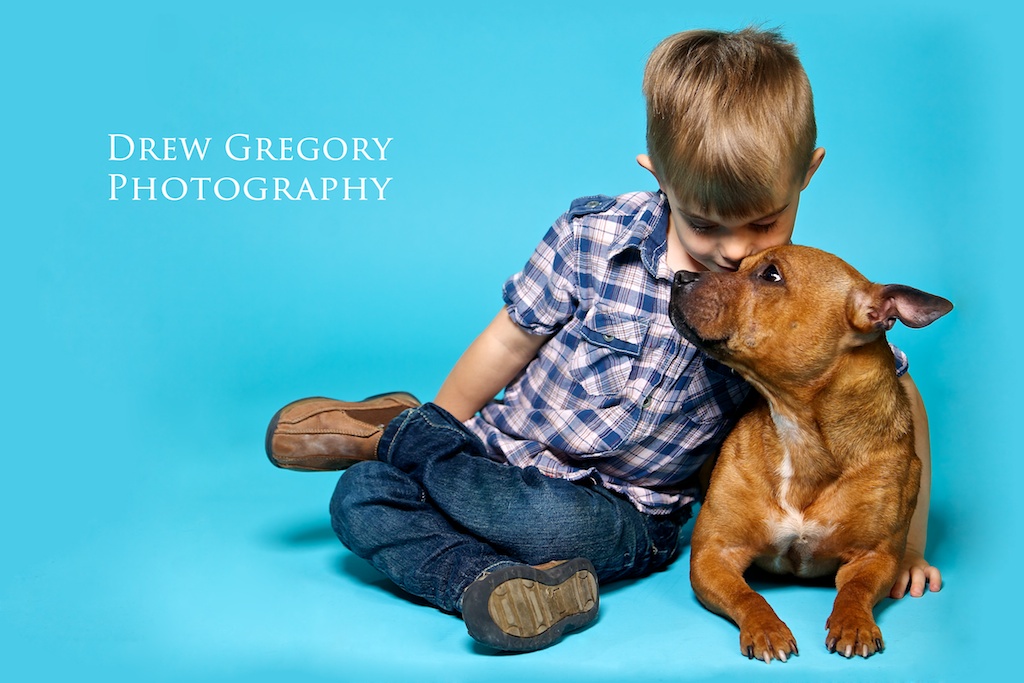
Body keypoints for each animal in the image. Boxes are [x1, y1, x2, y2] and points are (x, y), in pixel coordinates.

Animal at [671, 244, 950, 663]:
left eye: (771, 275)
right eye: (738, 266)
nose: (680, 277)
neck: (801, 434)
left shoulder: (874, 558)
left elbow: (854, 590)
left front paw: (854, 622)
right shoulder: (714, 554)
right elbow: (748, 596)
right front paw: (766, 628)